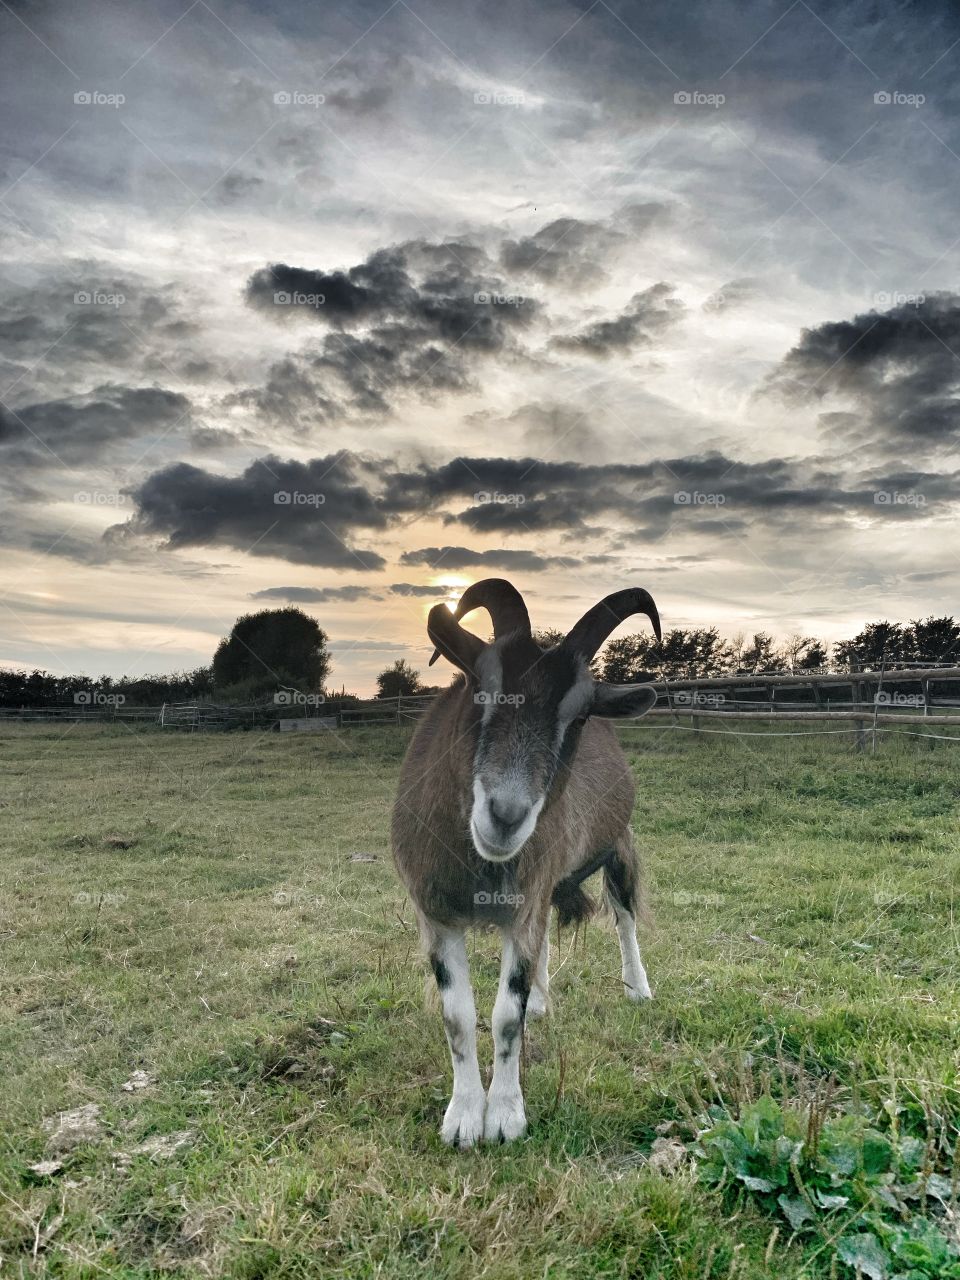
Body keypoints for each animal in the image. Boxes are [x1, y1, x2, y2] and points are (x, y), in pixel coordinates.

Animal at [391, 578, 661, 1146]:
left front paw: (505, 1116)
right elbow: (458, 1014)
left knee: (624, 915)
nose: (506, 815)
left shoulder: (526, 899)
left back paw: (637, 987)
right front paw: (463, 1118)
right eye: (480, 688)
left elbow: (506, 1015)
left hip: (617, 845)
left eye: (578, 714)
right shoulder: (436, 912)